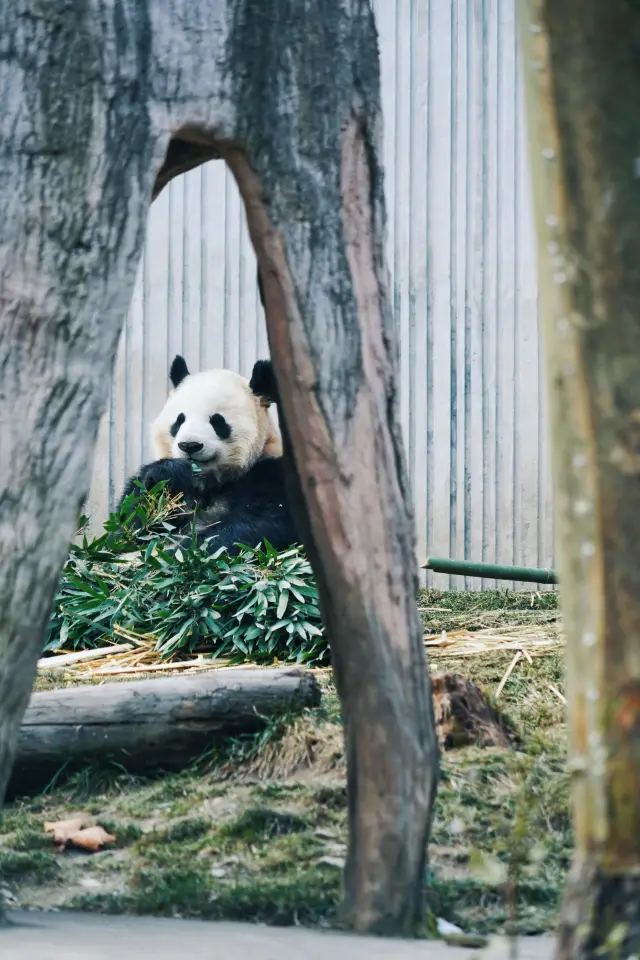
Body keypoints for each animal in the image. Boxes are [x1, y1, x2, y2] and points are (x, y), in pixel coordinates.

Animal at [119, 356, 298, 556]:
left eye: (217, 421)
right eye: (179, 420)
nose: (189, 445)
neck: (208, 483)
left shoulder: (271, 474)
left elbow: (259, 525)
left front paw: (184, 552)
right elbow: (130, 527)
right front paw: (167, 474)